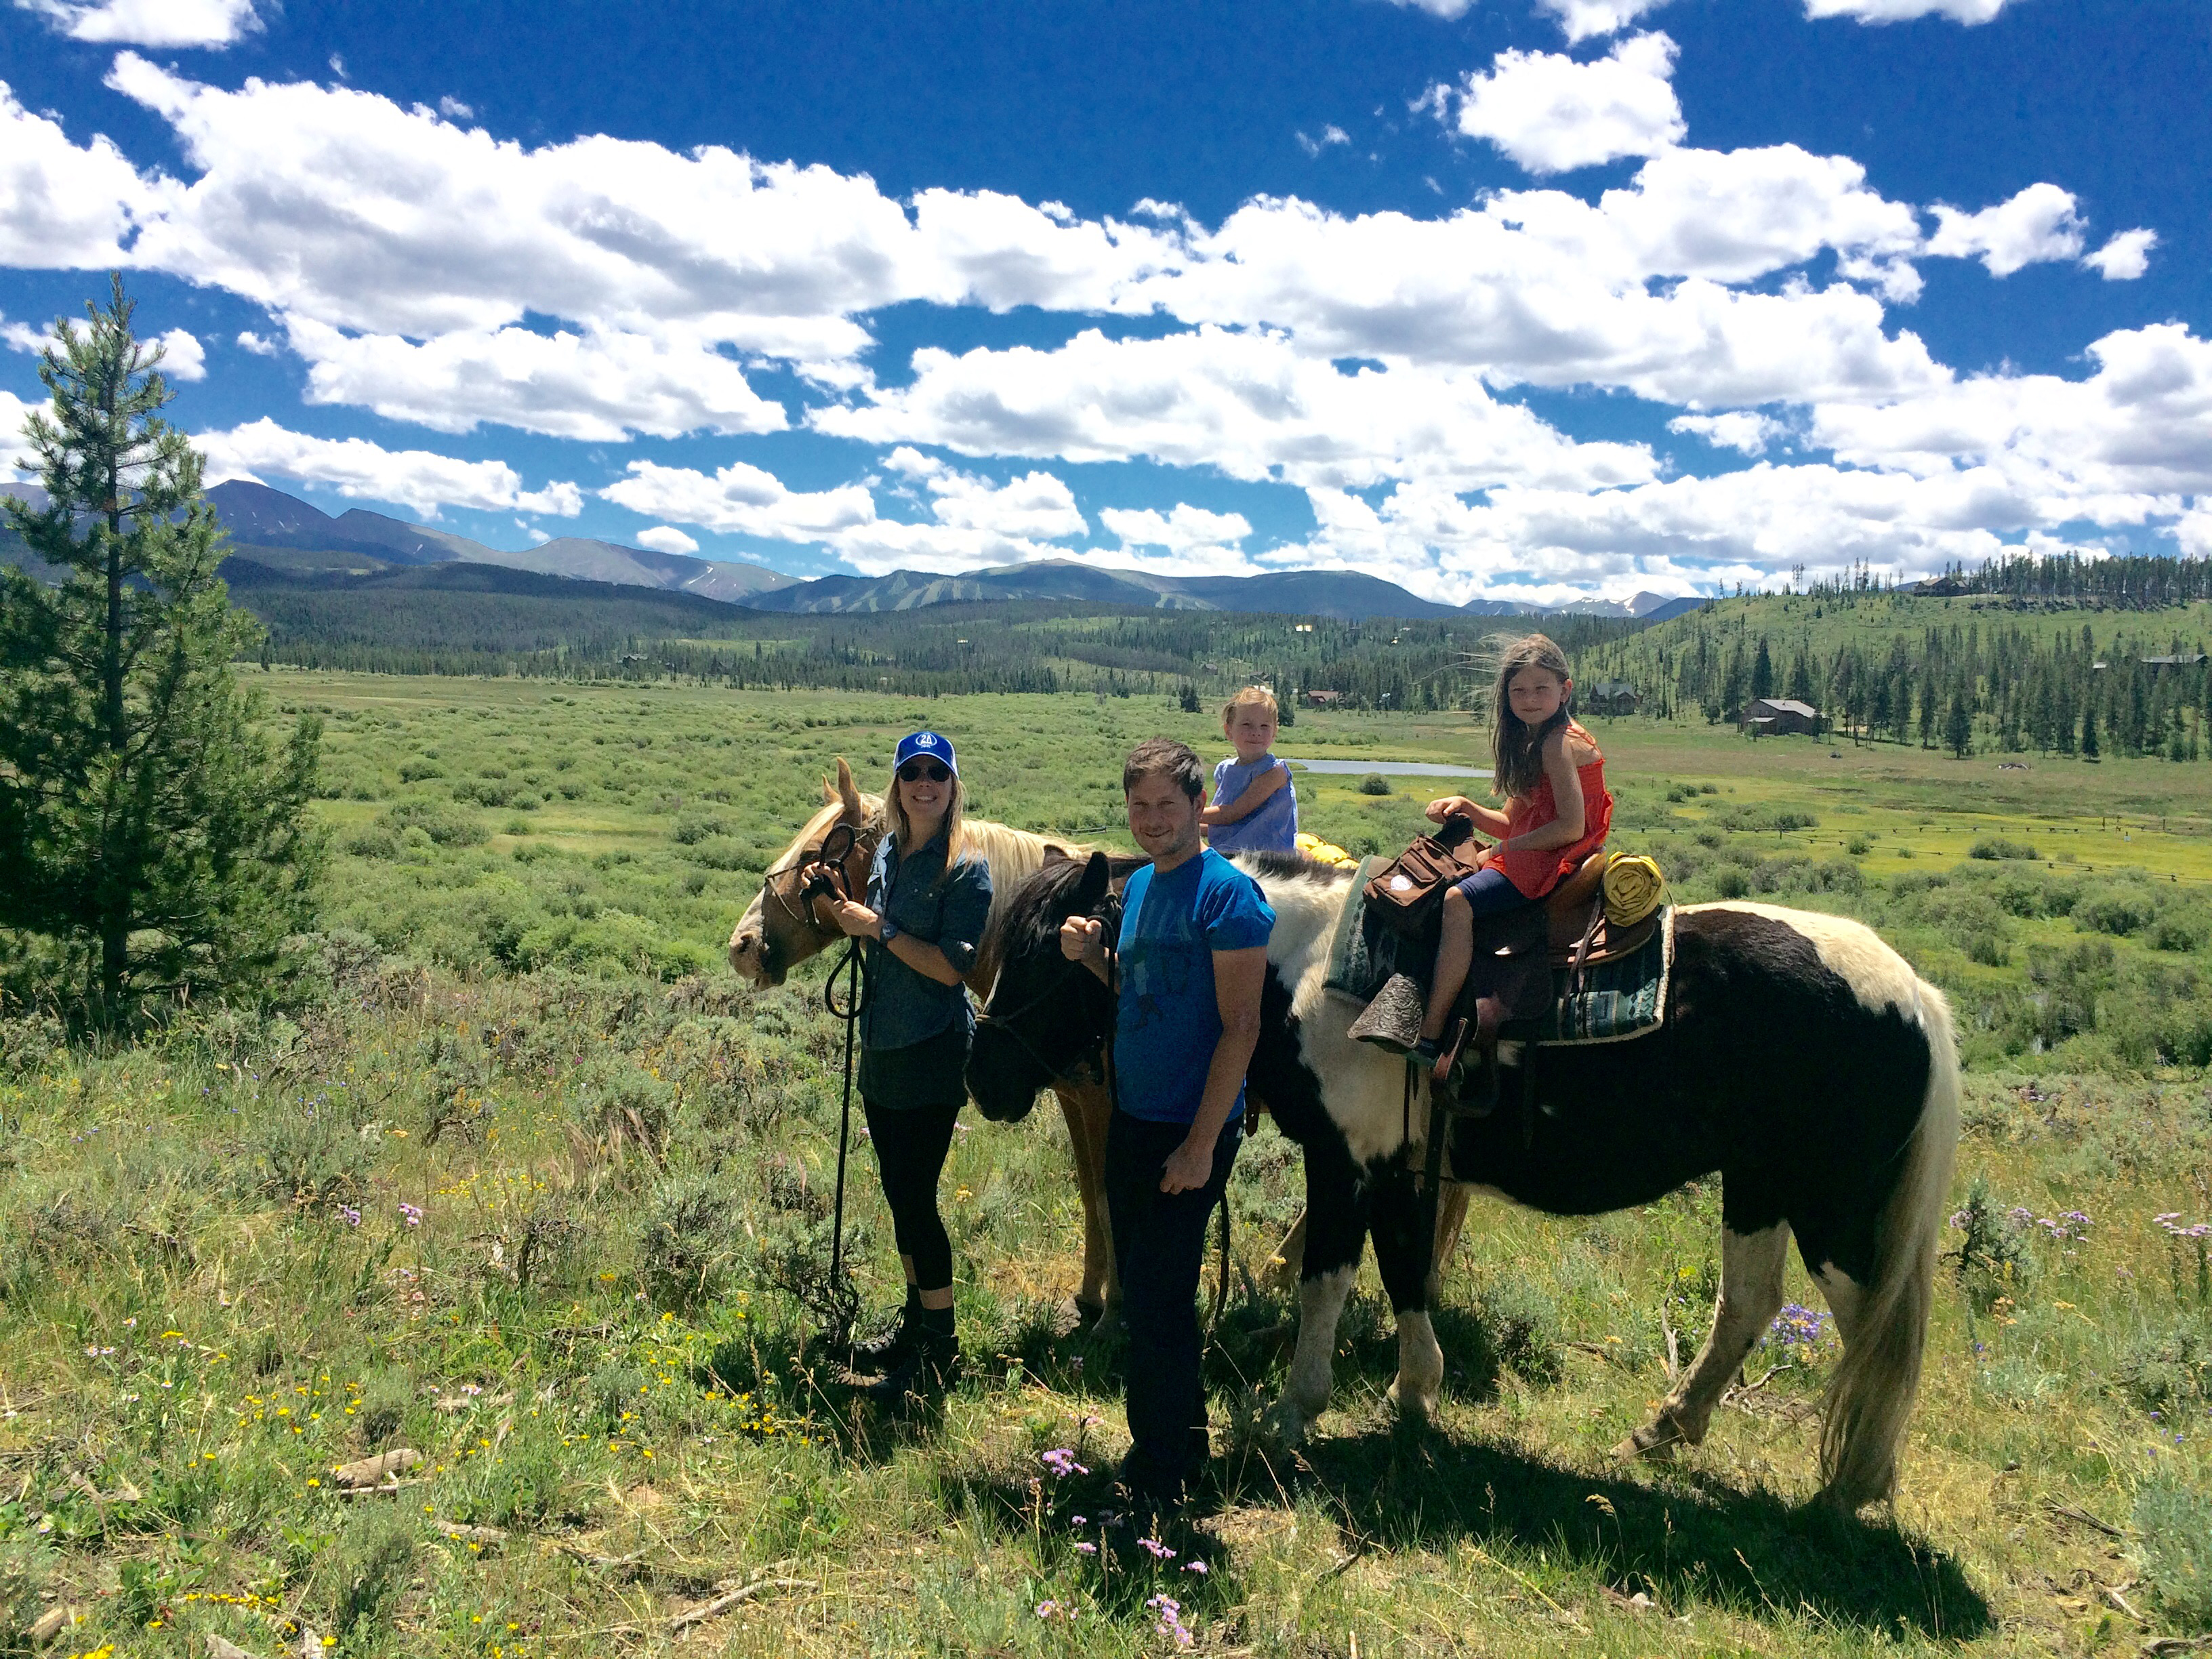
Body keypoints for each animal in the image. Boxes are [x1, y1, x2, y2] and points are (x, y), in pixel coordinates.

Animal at [730, 760, 1124, 1336]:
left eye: (812, 855)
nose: (741, 946)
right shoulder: (1075, 1097)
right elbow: (1091, 1190)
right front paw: (1092, 1296)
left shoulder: (1110, 1105)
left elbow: (1111, 1198)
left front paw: (1115, 1315)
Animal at [968, 849, 1955, 1513]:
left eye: (1052, 953)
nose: (984, 1080)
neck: (1299, 970)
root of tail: (1914, 991)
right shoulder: (1398, 1163)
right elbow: (1405, 1270)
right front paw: (1413, 1395)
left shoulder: (1345, 1162)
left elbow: (1328, 1278)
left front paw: (1294, 1411)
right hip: (1758, 1186)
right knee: (1749, 1307)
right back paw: (1667, 1428)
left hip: (1832, 1209)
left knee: (1871, 1334)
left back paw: (1852, 1484)